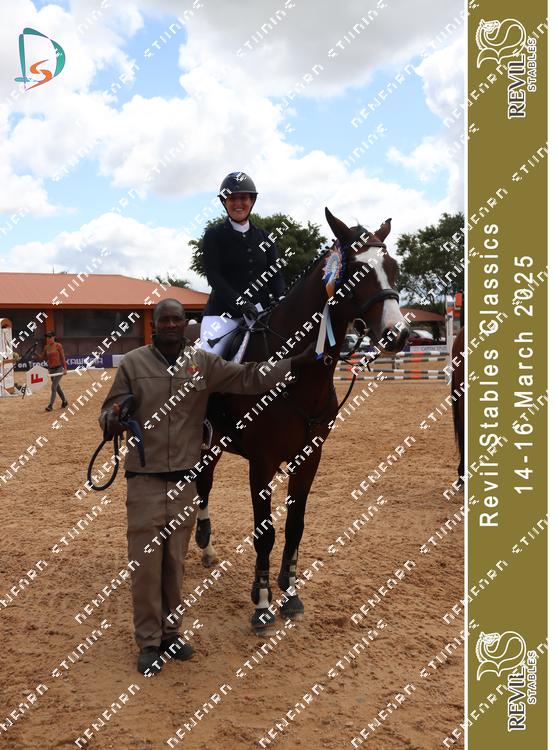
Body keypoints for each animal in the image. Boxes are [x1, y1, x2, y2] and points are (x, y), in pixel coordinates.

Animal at [186, 208, 409, 631]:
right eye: (358, 272)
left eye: (393, 268)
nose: (398, 335)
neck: (294, 371)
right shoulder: (262, 463)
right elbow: (265, 533)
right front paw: (261, 603)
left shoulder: (309, 458)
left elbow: (294, 527)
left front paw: (290, 594)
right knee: (199, 482)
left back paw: (205, 548)